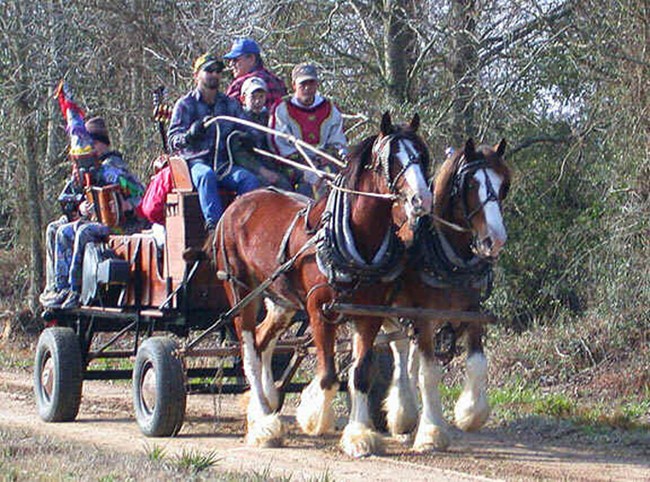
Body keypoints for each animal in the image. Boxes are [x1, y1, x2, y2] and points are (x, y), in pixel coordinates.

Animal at [213, 112, 432, 456]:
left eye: (421, 156)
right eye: (391, 160)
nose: (421, 199)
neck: (354, 240)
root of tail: (240, 204)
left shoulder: (368, 313)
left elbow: (360, 374)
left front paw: (358, 435)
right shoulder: (318, 311)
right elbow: (328, 375)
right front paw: (314, 416)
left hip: (280, 300)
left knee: (262, 340)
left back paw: (265, 402)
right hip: (240, 290)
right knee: (248, 348)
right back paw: (263, 423)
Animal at [380, 138, 512, 452]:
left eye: (504, 184)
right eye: (470, 184)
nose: (496, 239)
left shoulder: (472, 312)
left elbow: (477, 363)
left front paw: (470, 414)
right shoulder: (424, 317)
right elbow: (429, 373)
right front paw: (431, 432)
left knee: (409, 355)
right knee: (400, 353)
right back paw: (403, 415)